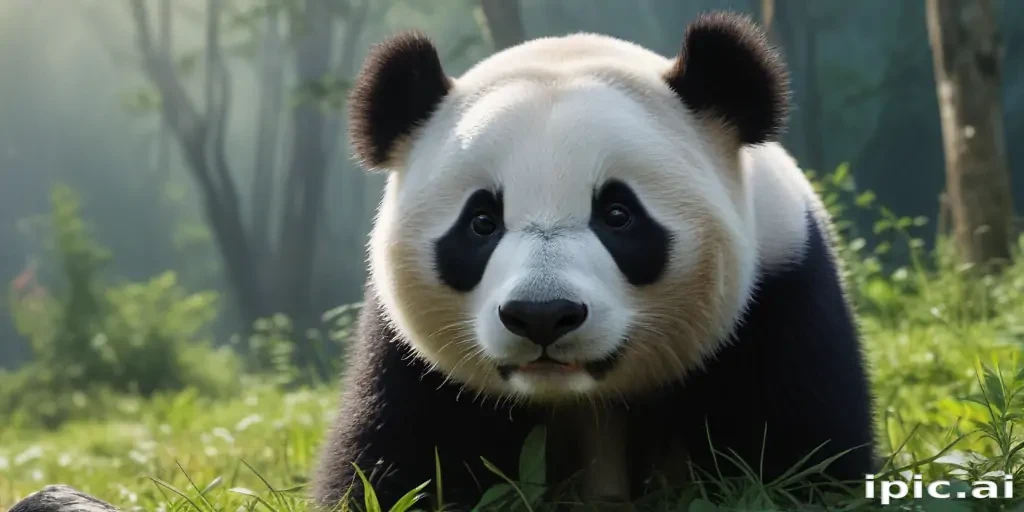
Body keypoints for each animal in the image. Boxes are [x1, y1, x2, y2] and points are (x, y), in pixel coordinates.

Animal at [314, 11, 876, 510]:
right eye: (481, 222)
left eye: (618, 214)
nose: (541, 316)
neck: (581, 395)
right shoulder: (409, 361)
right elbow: (392, 458)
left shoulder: (780, 289)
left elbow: (802, 447)